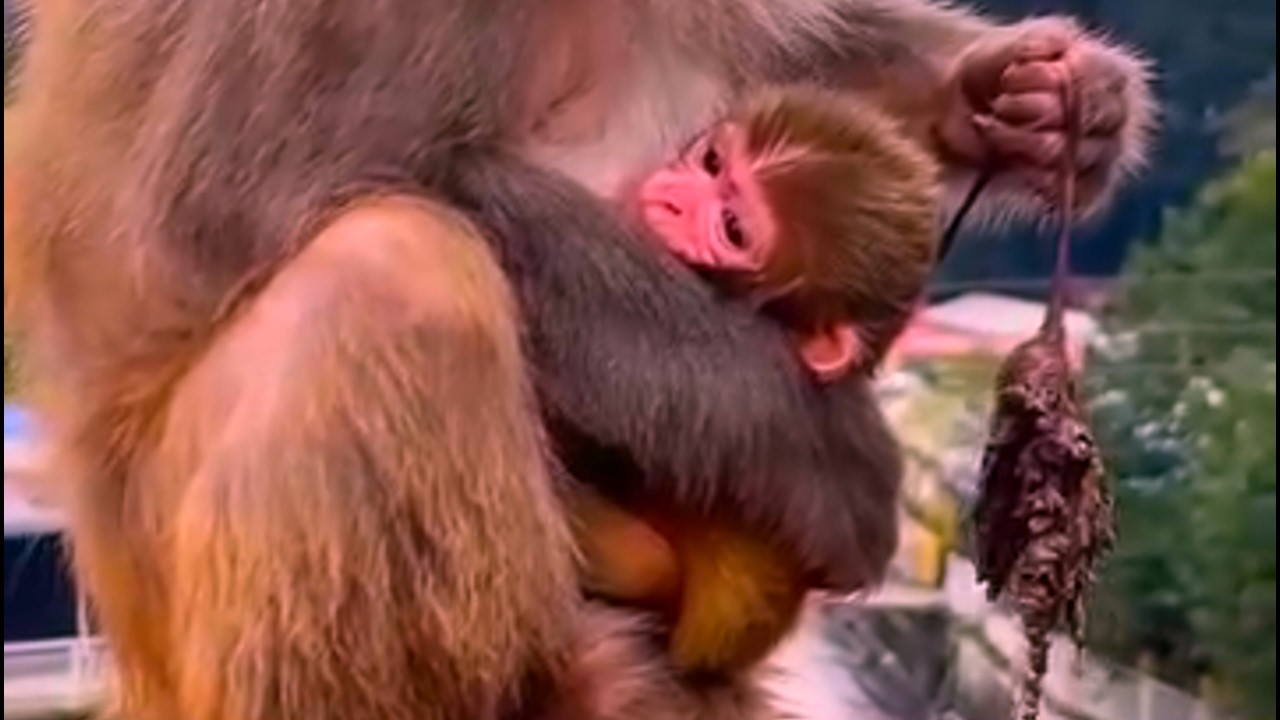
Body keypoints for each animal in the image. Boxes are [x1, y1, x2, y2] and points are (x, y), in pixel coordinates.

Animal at [5, 2, 1153, 719]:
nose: (684, 203)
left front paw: (1027, 102)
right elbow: (262, 198)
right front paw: (824, 452)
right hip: (172, 576)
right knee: (391, 271)